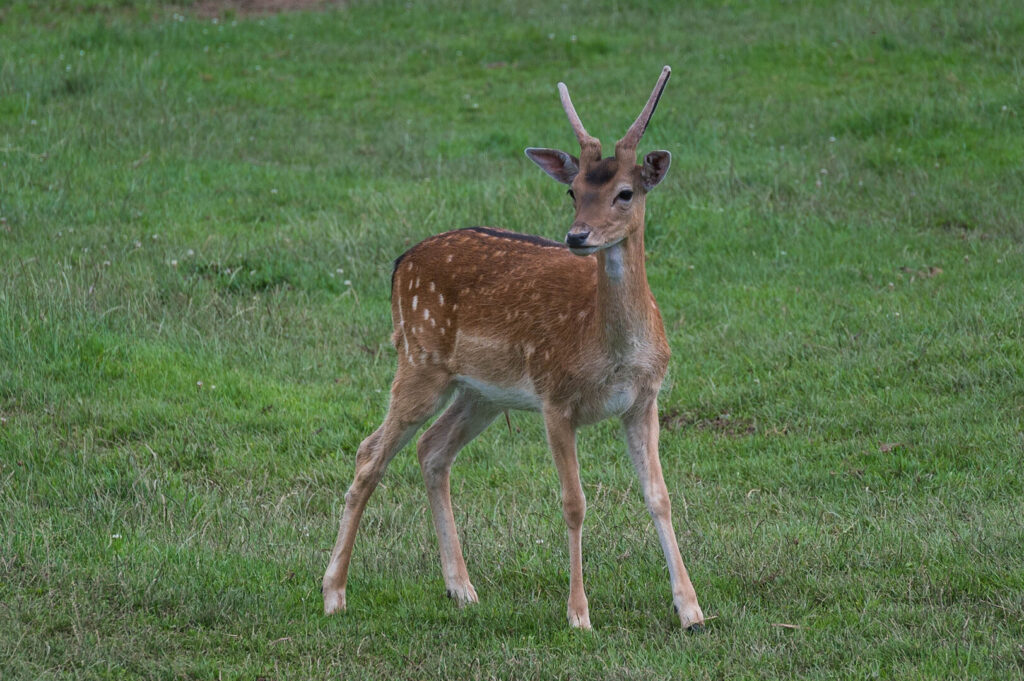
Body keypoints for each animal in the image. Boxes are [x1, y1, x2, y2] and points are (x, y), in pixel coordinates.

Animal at [319, 66, 704, 630]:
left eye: (625, 192)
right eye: (572, 192)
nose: (577, 236)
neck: (612, 351)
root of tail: (399, 263)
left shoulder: (644, 399)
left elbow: (660, 495)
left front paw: (691, 609)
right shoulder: (555, 395)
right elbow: (573, 502)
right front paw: (579, 614)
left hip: (480, 391)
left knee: (432, 449)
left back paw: (461, 588)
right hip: (418, 358)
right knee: (370, 454)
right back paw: (334, 592)